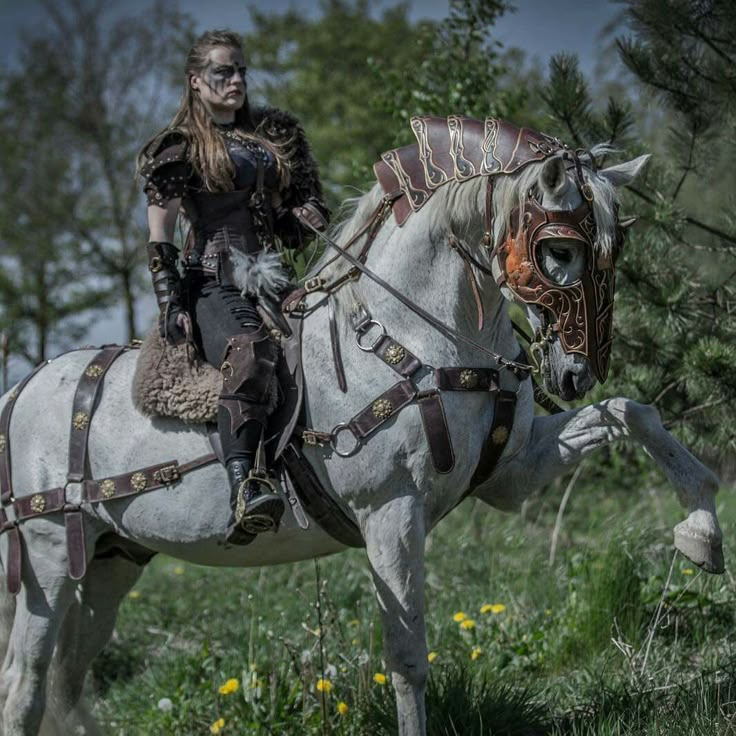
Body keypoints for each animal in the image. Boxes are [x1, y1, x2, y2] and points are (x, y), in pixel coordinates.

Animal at [0, 129, 724, 732]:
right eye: (558, 250)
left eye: (614, 249)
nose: (576, 373)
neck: (415, 338)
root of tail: (21, 388)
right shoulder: (390, 513)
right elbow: (406, 661)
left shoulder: (512, 473)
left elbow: (634, 414)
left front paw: (701, 531)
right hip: (45, 557)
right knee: (26, 684)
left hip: (110, 561)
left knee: (66, 680)